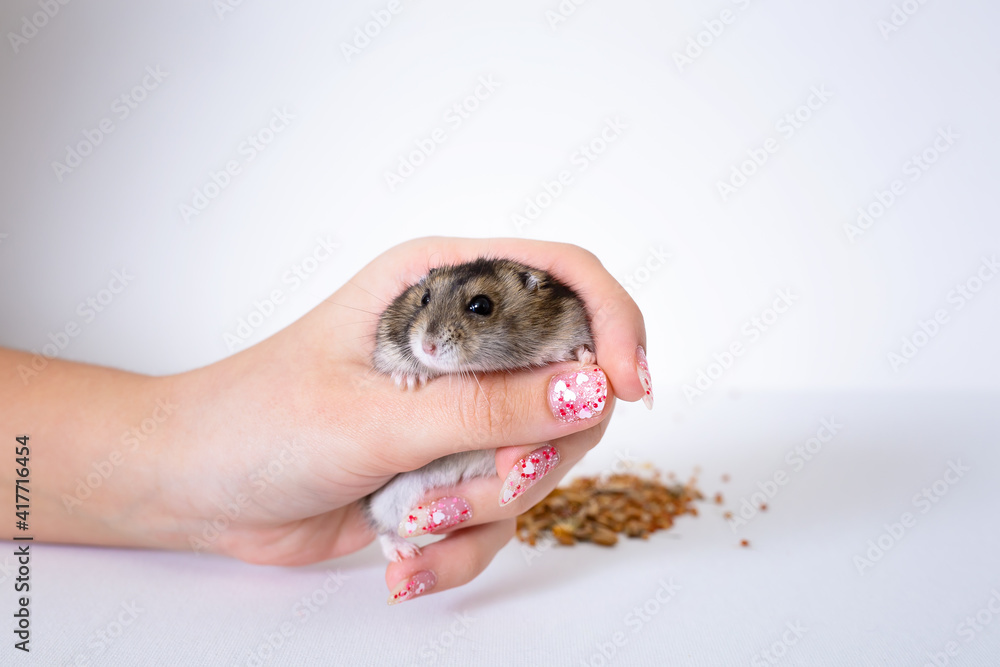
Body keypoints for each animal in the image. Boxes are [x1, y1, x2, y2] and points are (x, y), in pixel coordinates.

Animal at [364, 258, 592, 560]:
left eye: (481, 306)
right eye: (424, 298)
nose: (427, 347)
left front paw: (586, 359)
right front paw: (409, 380)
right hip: (387, 499)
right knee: (382, 527)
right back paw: (405, 553)